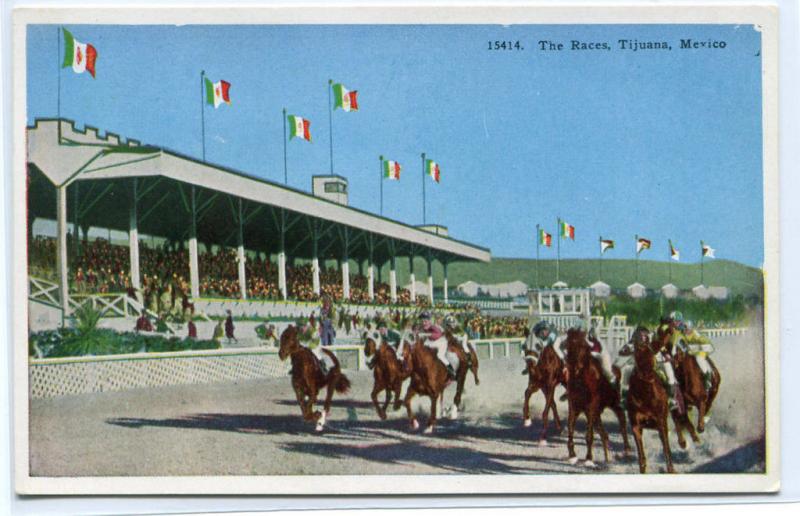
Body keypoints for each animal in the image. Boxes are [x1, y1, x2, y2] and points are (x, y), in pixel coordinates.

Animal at [564, 330, 632, 468]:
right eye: (569, 346)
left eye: (584, 347)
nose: (575, 368)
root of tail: (616, 369)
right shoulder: (574, 407)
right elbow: (570, 429)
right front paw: (572, 456)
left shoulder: (590, 408)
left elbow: (589, 435)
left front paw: (589, 458)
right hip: (596, 413)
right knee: (604, 433)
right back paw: (608, 456)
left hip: (614, 404)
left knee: (622, 421)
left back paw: (627, 450)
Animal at [624, 326, 676, 476]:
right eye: (634, 339)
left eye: (647, 338)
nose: (643, 337)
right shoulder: (636, 425)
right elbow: (641, 456)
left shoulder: (661, 422)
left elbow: (666, 449)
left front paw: (671, 469)